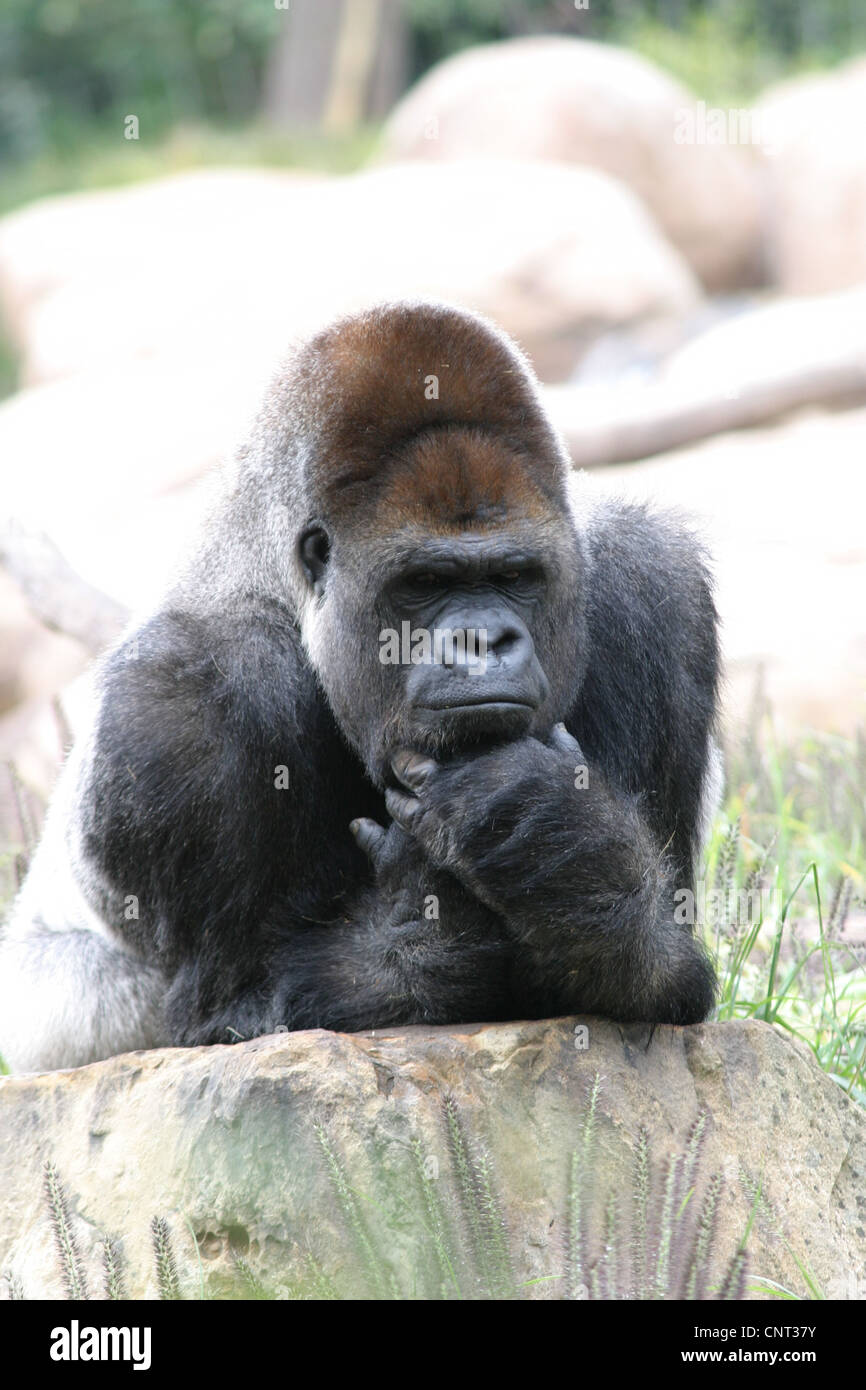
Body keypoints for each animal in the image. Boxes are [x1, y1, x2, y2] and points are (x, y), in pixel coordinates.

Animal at [0, 300, 720, 1073]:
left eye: (514, 576)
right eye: (424, 583)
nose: (484, 640)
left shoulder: (648, 580)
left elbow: (654, 976)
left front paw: (569, 852)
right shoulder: (177, 696)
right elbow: (235, 1011)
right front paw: (430, 922)